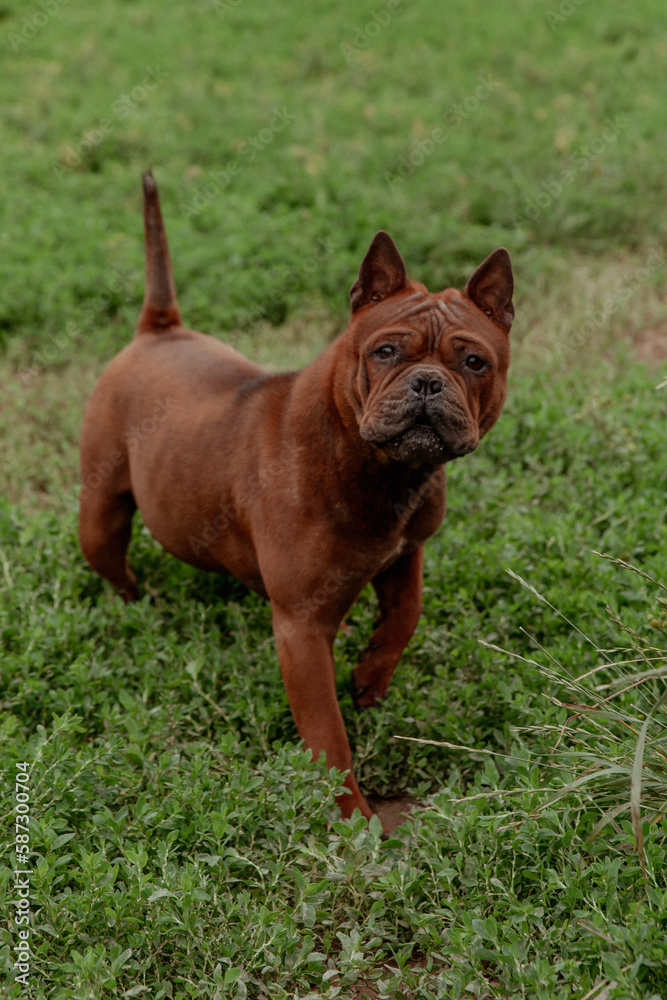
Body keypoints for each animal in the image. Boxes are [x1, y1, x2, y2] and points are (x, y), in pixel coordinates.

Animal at [79, 172, 516, 828]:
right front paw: (352, 819)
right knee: (115, 563)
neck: (379, 469)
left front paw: (370, 677)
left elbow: (406, 615)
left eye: (474, 362)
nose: (428, 382)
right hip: (101, 515)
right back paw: (137, 604)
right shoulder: (302, 631)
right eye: (387, 352)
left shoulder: (405, 553)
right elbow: (328, 736)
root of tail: (158, 329)